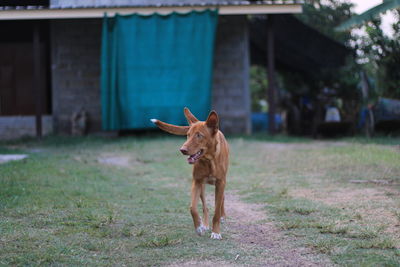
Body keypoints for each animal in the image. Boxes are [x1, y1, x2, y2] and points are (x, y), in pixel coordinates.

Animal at [152, 109, 230, 241]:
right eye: (188, 134)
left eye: (199, 135)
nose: (182, 150)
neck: (209, 160)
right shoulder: (197, 182)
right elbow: (192, 208)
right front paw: (198, 228)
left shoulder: (220, 182)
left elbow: (217, 211)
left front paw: (216, 232)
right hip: (202, 186)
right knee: (205, 207)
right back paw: (204, 224)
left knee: (221, 201)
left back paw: (222, 216)